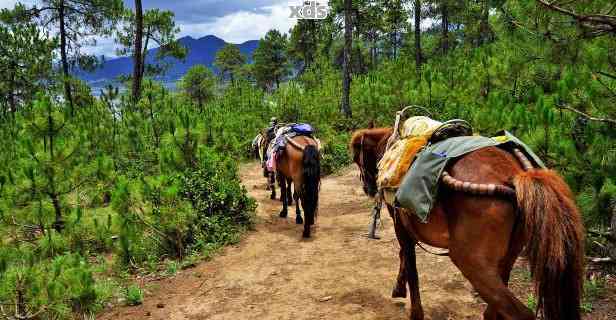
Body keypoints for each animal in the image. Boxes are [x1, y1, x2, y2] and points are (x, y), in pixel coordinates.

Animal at [348, 127, 584, 320]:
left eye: (356, 158)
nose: (367, 188)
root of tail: (515, 176)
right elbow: (404, 259)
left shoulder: (402, 229)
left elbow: (409, 265)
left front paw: (408, 302)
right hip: (508, 256)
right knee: (493, 310)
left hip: (471, 262)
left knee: (520, 313)